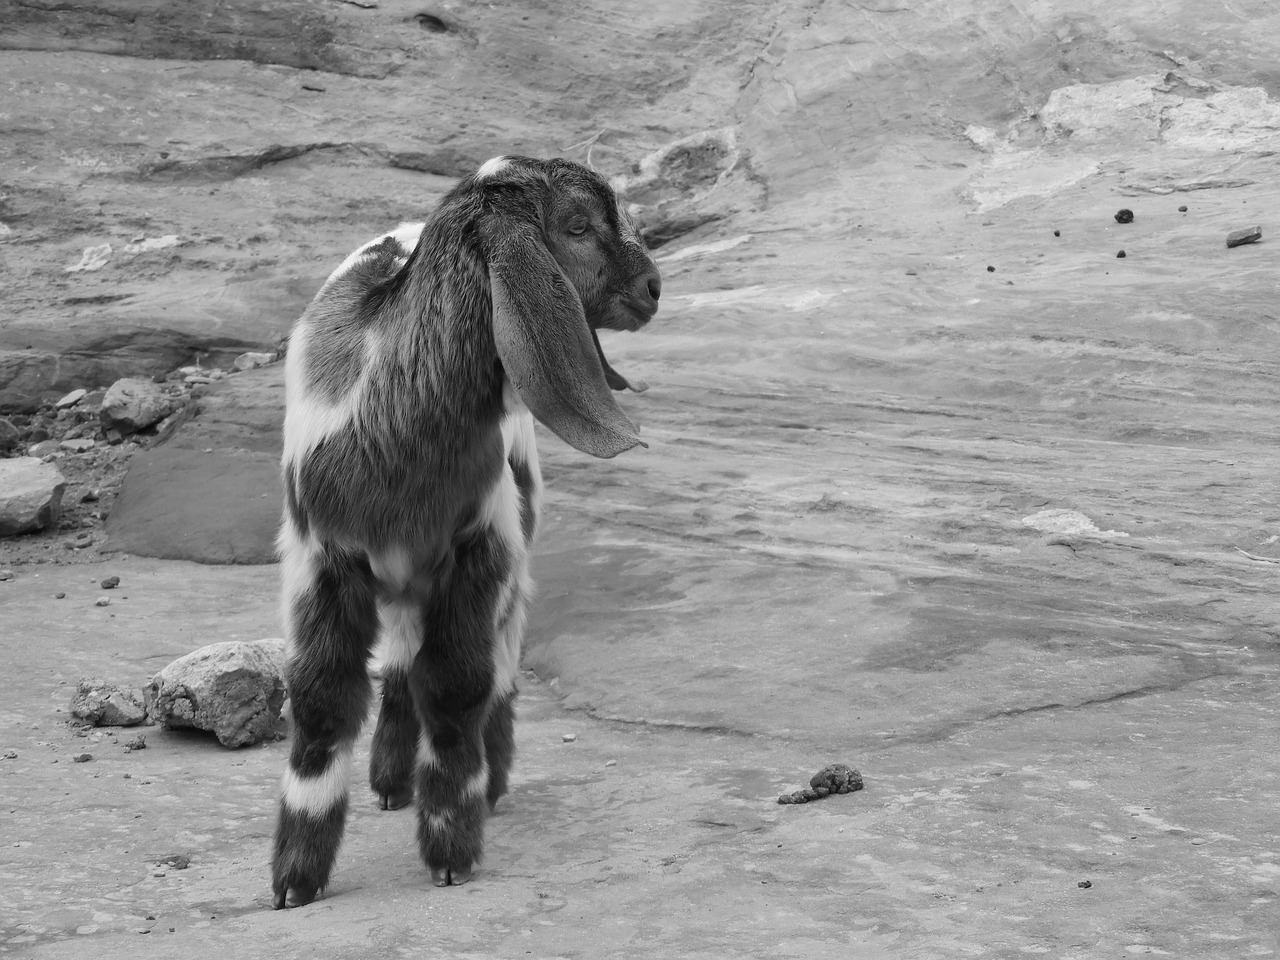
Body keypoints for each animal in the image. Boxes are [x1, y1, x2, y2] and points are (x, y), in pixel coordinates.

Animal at [271, 156, 665, 911]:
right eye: (577, 226)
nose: (654, 287)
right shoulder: (320, 559)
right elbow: (321, 699)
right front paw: (294, 879)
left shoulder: (482, 550)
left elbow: (456, 685)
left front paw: (451, 845)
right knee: (401, 656)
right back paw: (390, 780)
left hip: (511, 538)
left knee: (495, 658)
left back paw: (488, 778)